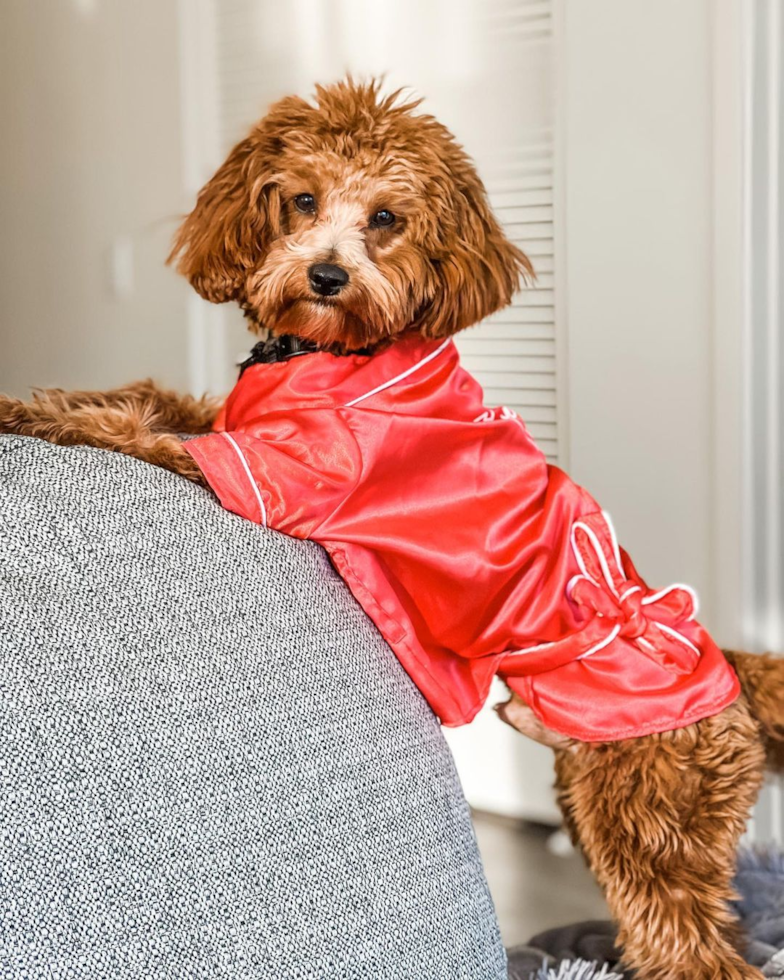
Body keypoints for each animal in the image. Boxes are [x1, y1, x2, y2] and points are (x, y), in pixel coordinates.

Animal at [1, 78, 784, 980]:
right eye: (302, 199)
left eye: (386, 217)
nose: (327, 274)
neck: (331, 352)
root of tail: (730, 672)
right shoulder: (230, 421)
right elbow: (146, 394)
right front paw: (60, 391)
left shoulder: (263, 473)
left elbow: (131, 429)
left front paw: (24, 410)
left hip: (648, 810)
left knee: (692, 945)